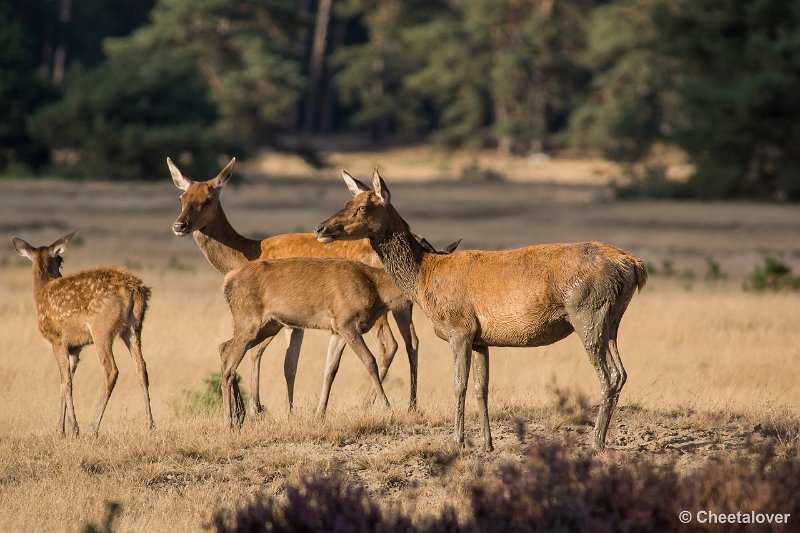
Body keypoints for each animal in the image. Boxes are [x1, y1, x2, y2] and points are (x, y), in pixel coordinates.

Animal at [11, 231, 154, 434]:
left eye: (60, 259)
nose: (59, 274)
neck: (40, 294)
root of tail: (133, 288)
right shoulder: (75, 347)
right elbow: (64, 383)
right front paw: (60, 429)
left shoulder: (58, 340)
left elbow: (66, 383)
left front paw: (73, 428)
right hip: (134, 327)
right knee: (141, 367)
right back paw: (150, 425)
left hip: (102, 327)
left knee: (111, 370)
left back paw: (91, 429)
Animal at [169, 156, 428, 418]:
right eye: (182, 198)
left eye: (208, 199)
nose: (180, 225)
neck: (245, 255)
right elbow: (284, 361)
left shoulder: (285, 320)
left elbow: (273, 359)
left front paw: (259, 410)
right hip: (404, 305)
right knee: (412, 342)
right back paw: (412, 405)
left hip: (381, 312)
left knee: (388, 345)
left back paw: (369, 406)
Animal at [316, 170, 648, 454]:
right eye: (346, 202)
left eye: (362, 208)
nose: (321, 228)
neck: (424, 278)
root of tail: (632, 265)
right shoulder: (480, 339)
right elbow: (481, 388)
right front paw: (487, 444)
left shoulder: (459, 328)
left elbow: (458, 385)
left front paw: (457, 441)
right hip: (612, 320)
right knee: (621, 373)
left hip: (586, 313)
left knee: (607, 376)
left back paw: (595, 443)